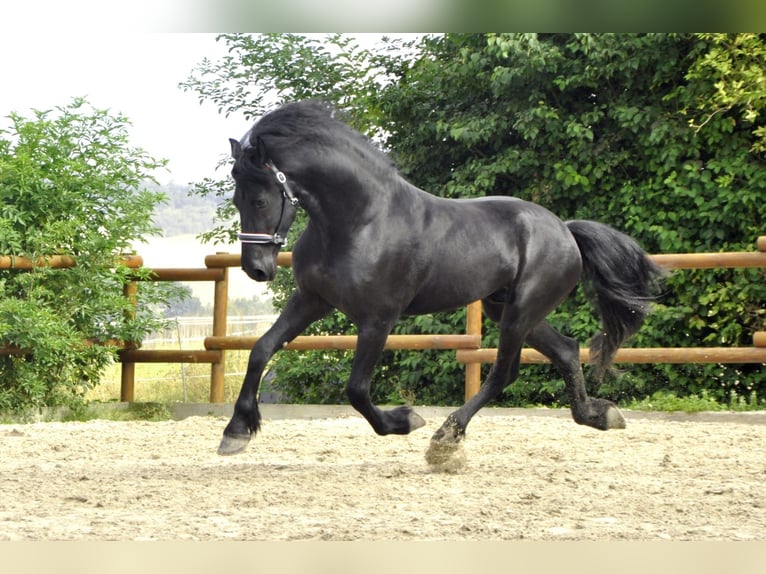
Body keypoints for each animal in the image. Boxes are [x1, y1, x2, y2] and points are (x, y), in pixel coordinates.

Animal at [218, 100, 664, 468]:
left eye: (260, 199)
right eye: (238, 201)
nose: (257, 270)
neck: (359, 220)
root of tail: (566, 231)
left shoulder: (378, 318)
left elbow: (357, 389)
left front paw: (404, 420)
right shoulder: (312, 299)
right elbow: (261, 350)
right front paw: (236, 432)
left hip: (520, 313)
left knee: (504, 373)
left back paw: (444, 439)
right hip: (508, 308)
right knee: (567, 352)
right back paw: (600, 415)